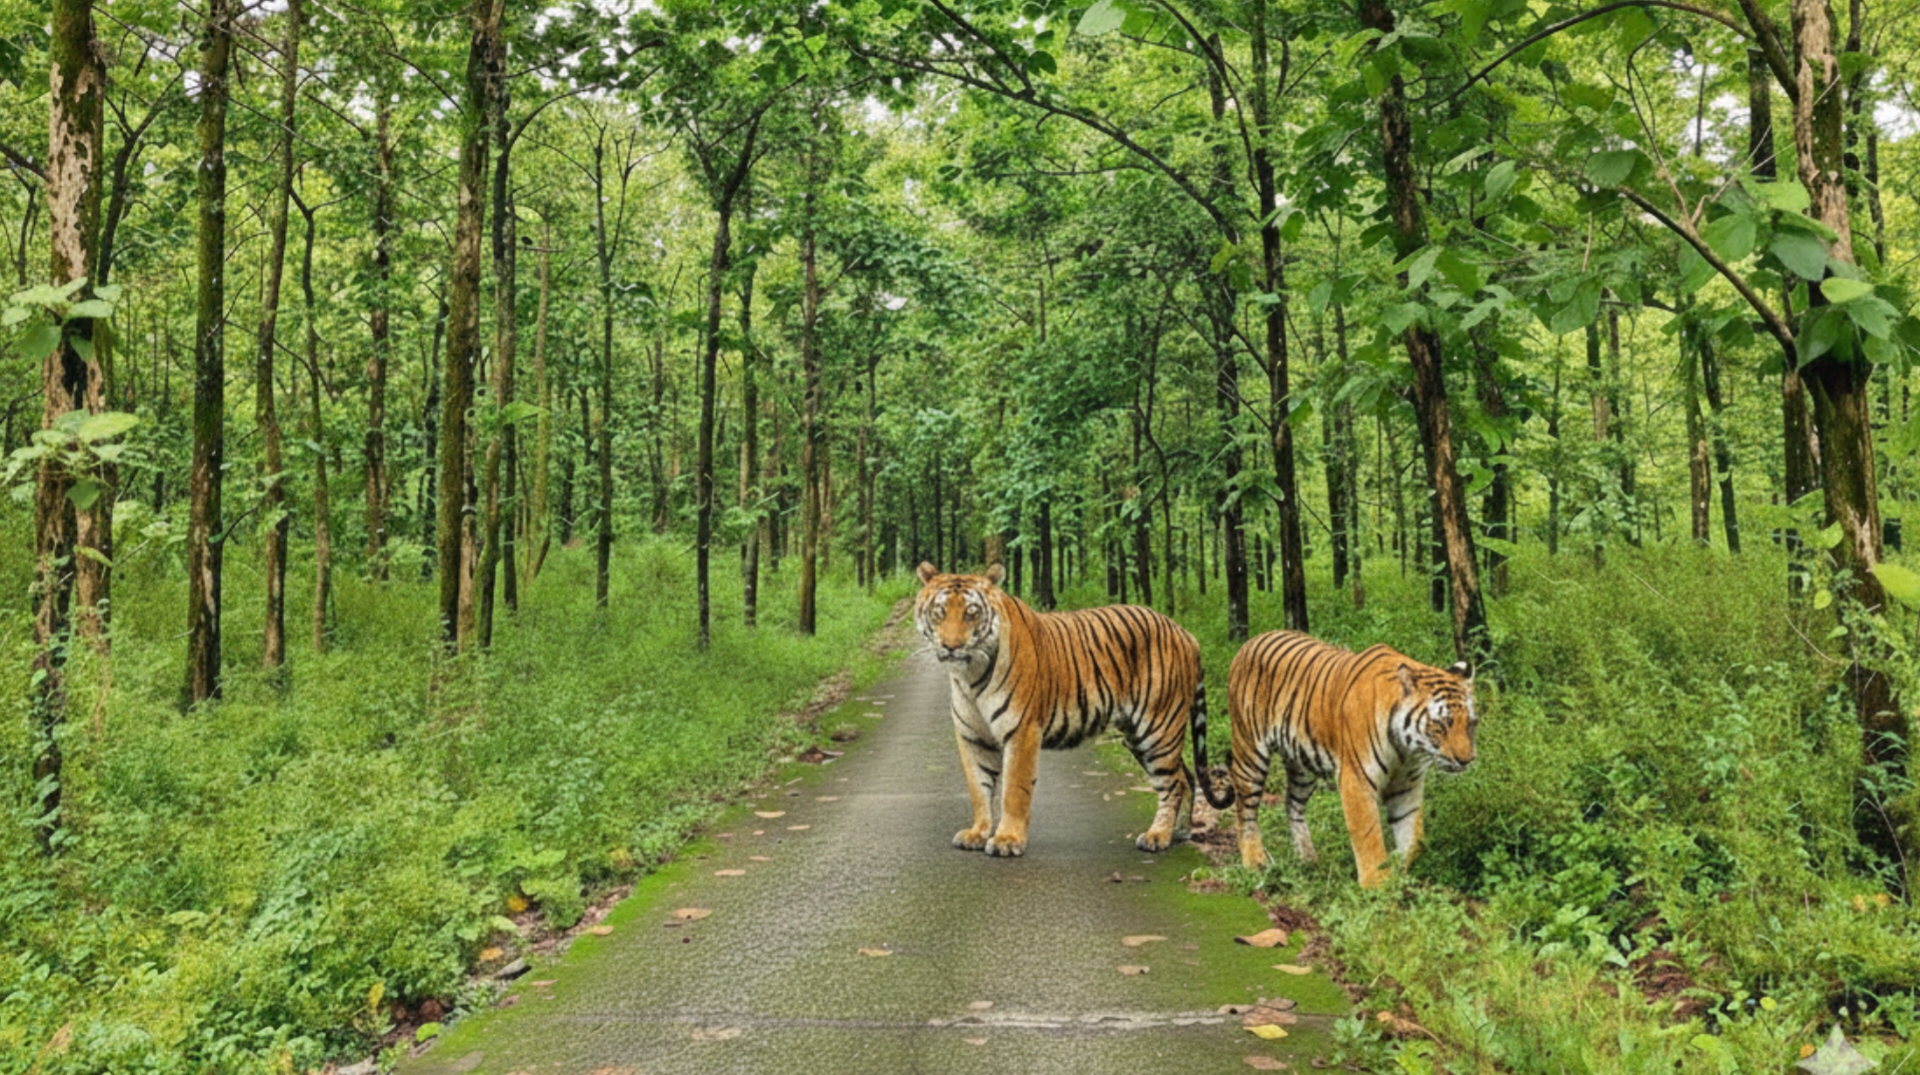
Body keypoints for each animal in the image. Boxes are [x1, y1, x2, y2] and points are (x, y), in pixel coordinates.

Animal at [914, 562, 1208, 858]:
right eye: (940, 612)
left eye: (971, 613)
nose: (951, 647)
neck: (970, 673)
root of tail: (1186, 633)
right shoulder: (973, 737)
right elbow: (978, 788)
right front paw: (977, 833)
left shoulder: (1022, 731)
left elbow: (1014, 789)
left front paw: (1007, 839)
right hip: (1138, 736)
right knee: (1185, 776)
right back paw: (1179, 832)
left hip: (1158, 728)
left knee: (1173, 784)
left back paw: (1158, 836)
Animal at [1193, 630, 1478, 887]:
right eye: (1441, 725)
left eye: (1471, 724)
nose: (1467, 760)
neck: (1408, 750)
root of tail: (1249, 642)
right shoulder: (1357, 781)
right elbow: (1368, 835)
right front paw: (1377, 884)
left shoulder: (1407, 787)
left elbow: (1414, 837)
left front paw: (1402, 869)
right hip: (1250, 752)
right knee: (1245, 809)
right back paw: (1255, 862)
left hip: (1302, 765)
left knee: (1292, 804)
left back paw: (1307, 858)